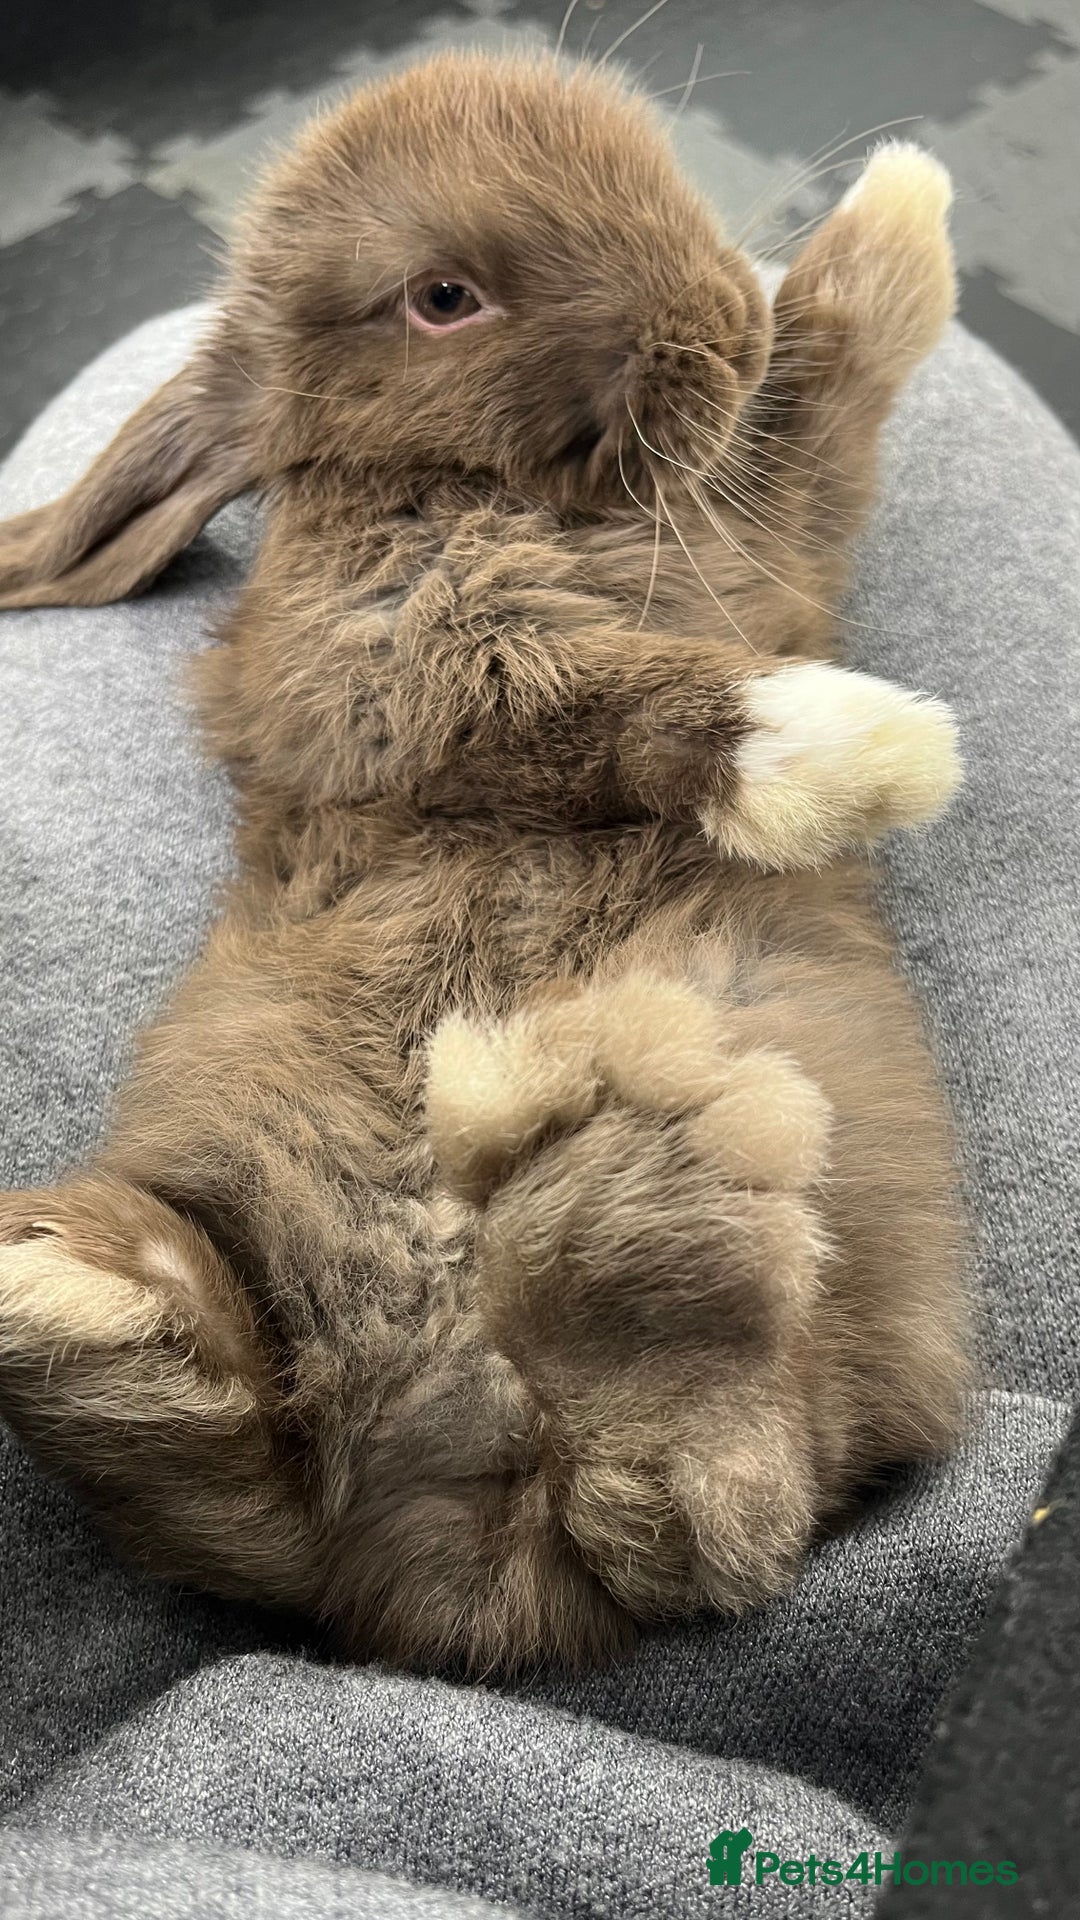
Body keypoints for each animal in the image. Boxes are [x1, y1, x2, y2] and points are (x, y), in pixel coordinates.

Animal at [0, 52, 970, 1673]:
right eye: (443, 297)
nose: (725, 313)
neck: (451, 477)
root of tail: (419, 1571)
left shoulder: (753, 522)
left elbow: (825, 384)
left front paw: (899, 200)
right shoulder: (407, 669)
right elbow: (613, 704)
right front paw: (866, 744)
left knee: (692, 1493)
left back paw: (556, 1119)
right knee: (692, 1508)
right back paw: (575, 1114)